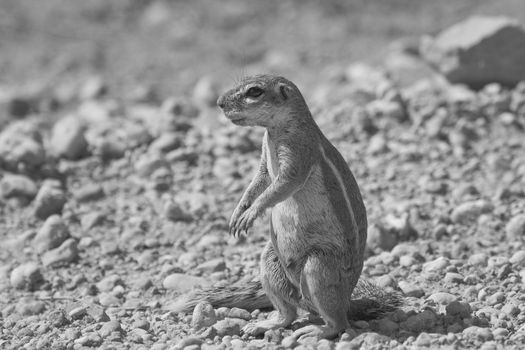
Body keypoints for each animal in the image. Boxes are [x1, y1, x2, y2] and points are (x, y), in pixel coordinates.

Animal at [170, 74, 400, 340]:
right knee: (288, 313)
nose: (219, 102)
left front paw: (251, 213)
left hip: (319, 267)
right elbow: (258, 182)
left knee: (338, 322)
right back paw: (266, 324)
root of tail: (349, 299)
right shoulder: (263, 159)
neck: (273, 131)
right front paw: (239, 210)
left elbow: (281, 186)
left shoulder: (297, 154)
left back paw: (316, 330)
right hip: (271, 262)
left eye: (254, 91)